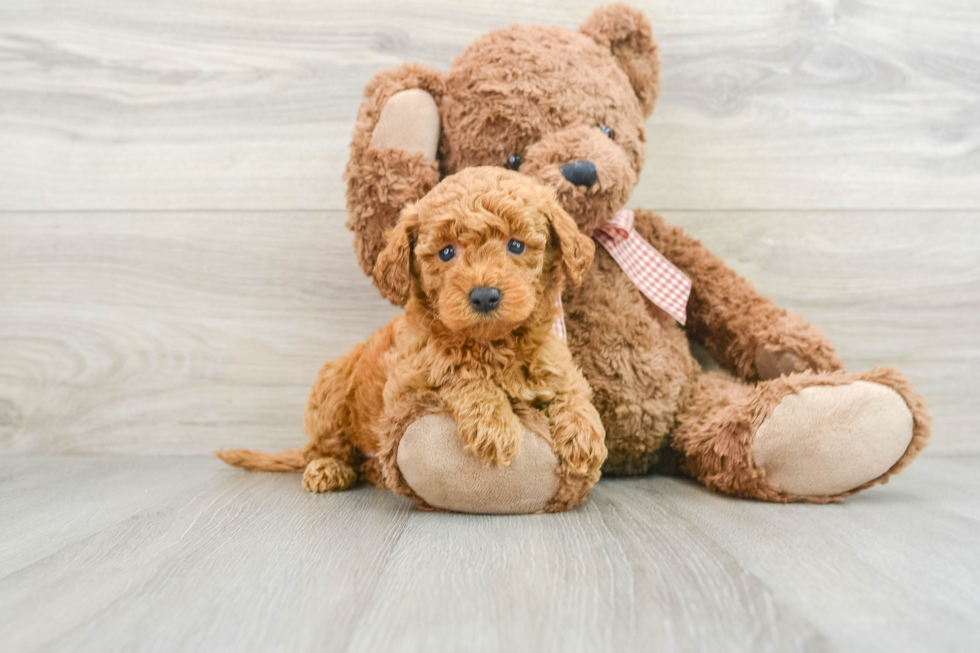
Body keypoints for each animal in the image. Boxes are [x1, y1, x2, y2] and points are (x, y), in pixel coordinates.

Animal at [218, 166, 604, 512]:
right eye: (447, 252)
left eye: (516, 245)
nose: (484, 296)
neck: (491, 343)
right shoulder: (408, 381)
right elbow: (458, 375)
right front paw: (494, 426)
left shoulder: (552, 362)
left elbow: (573, 393)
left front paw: (585, 436)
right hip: (330, 392)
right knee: (325, 447)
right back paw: (328, 468)